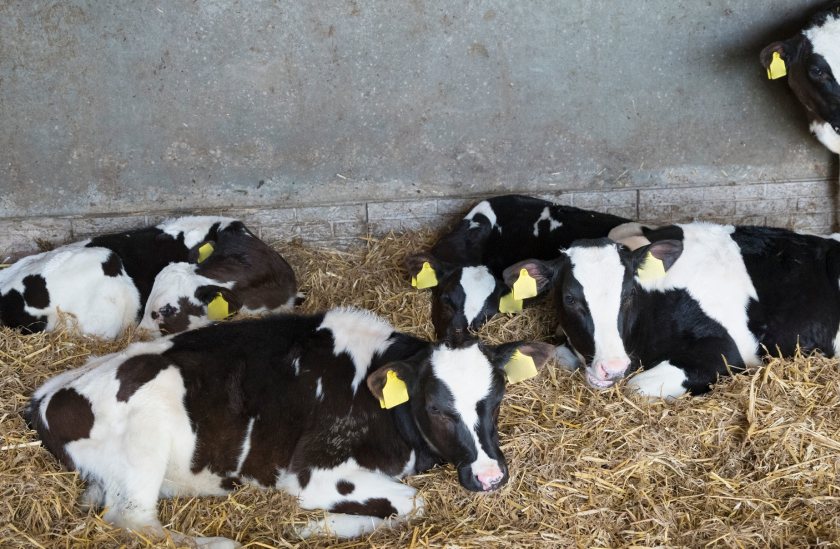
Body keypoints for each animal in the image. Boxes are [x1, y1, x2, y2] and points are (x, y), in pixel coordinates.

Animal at [25, 307, 554, 546]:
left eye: (497, 398)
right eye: (437, 407)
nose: (490, 476)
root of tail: (50, 397)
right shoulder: (315, 470)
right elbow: (413, 503)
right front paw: (315, 524)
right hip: (146, 440)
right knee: (134, 520)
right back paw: (219, 543)